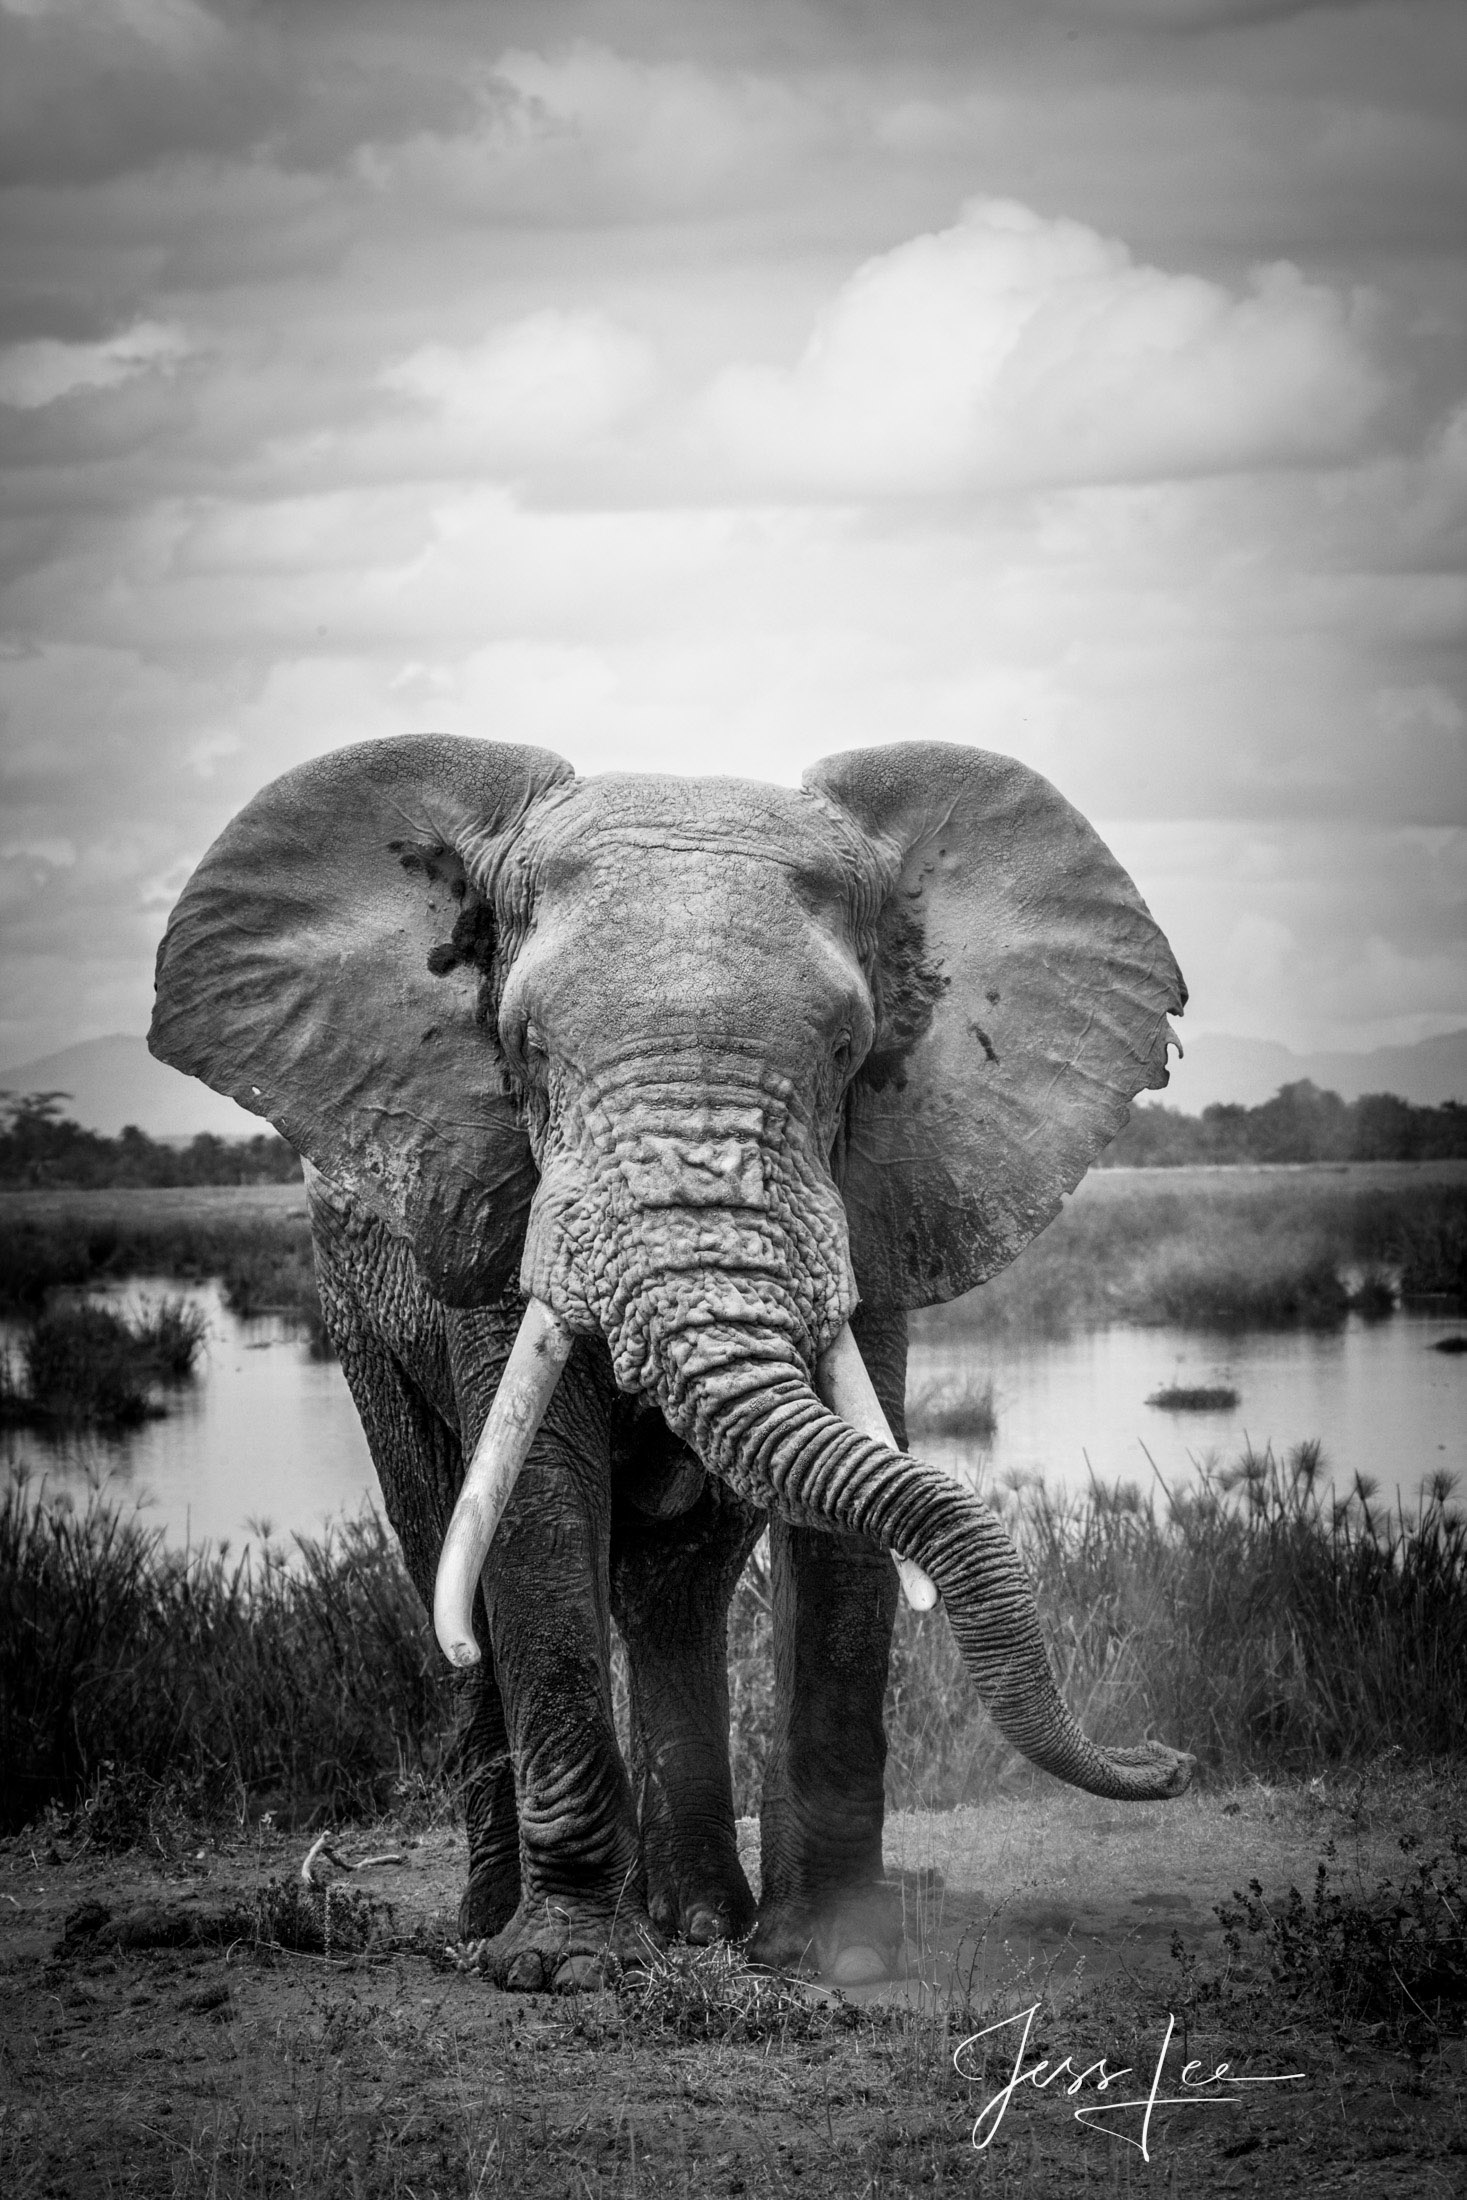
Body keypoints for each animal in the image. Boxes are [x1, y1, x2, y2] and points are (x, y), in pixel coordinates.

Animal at [149, 739, 1196, 1997]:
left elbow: (845, 1528)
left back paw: (698, 1920)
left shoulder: (877, 1193)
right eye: (527, 1050)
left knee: (676, 1588)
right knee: (442, 1546)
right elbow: (538, 1504)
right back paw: (490, 1928)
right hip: (353, 1308)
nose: (1170, 1758)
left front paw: (837, 1952)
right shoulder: (494, 1188)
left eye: (846, 1051)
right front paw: (560, 1968)